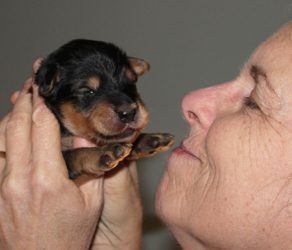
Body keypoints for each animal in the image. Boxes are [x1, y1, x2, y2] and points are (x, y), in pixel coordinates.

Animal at [35, 39, 175, 179]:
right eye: (88, 91)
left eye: (131, 82)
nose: (129, 113)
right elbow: (75, 153)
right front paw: (105, 152)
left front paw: (151, 139)